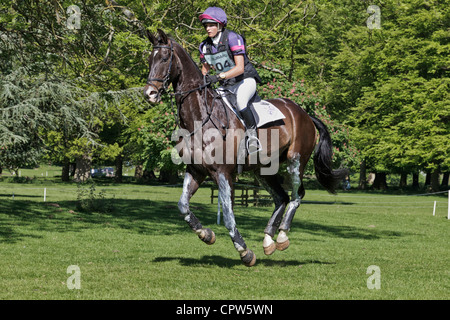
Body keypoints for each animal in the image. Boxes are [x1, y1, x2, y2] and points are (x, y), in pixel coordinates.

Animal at [142, 29, 346, 268]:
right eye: (150, 59)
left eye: (165, 58)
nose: (149, 94)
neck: (200, 118)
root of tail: (304, 113)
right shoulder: (196, 171)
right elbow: (183, 205)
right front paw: (206, 234)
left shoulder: (223, 173)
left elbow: (229, 215)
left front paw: (244, 251)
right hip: (263, 169)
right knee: (281, 198)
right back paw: (268, 241)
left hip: (295, 160)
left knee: (297, 195)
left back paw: (282, 236)